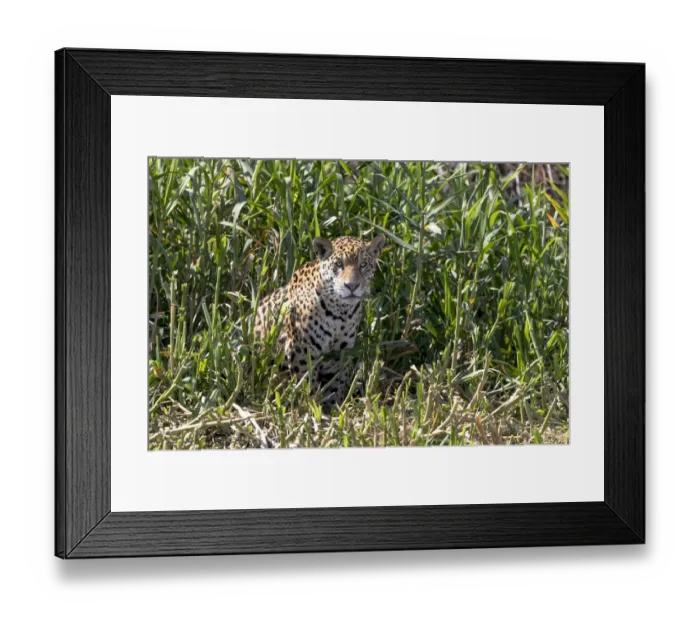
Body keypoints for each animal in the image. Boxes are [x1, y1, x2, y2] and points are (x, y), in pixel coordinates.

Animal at [254, 234, 386, 404]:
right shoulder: (300, 349)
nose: (352, 286)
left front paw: (333, 405)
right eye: (338, 264)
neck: (340, 313)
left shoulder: (341, 352)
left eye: (363, 264)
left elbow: (336, 383)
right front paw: (311, 404)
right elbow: (308, 382)